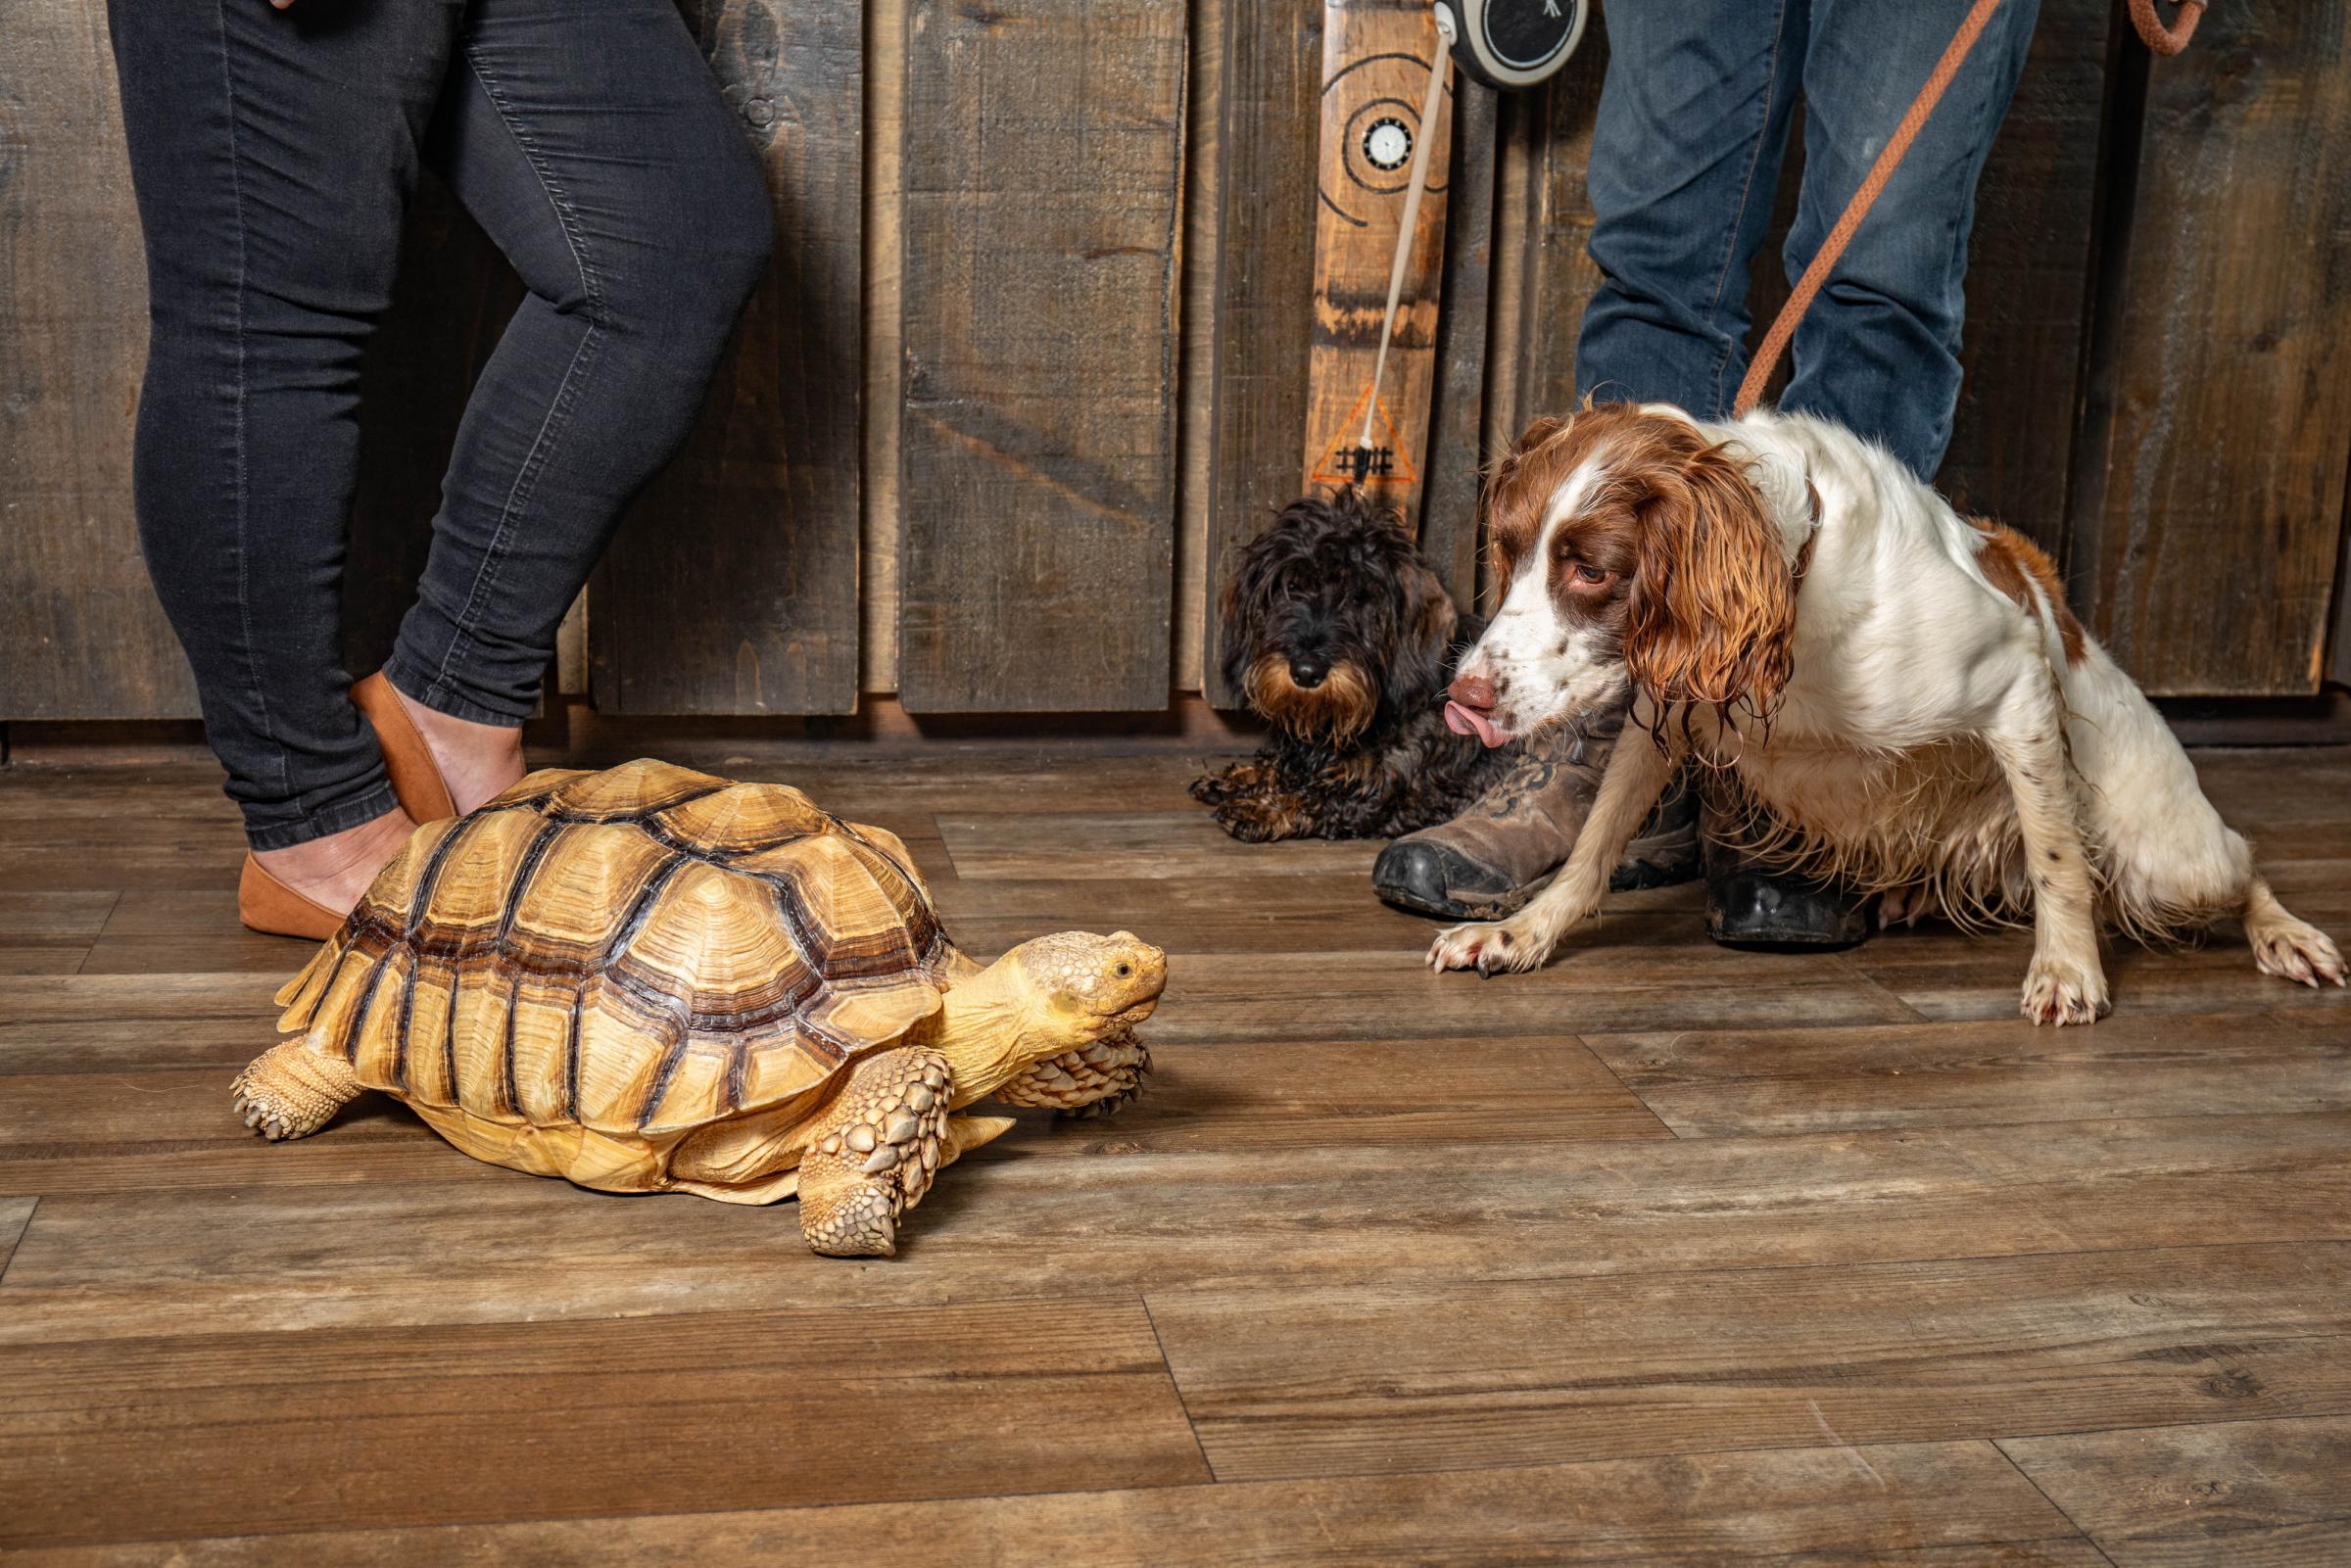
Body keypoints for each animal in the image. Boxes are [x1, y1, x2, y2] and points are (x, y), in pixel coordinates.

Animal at [1194, 491, 1505, 841]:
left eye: (1361, 597)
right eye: (1291, 587)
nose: (1306, 672)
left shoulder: (1379, 791)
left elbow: (1317, 797)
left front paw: (1260, 808)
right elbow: (1283, 766)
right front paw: (1239, 776)